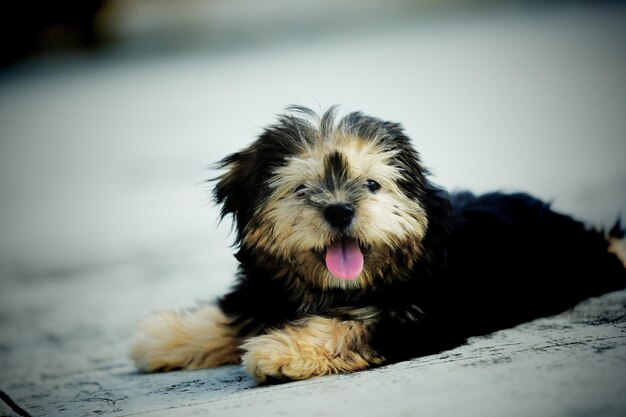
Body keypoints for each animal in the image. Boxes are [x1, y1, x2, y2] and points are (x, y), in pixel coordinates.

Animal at [129, 105, 620, 384]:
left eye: (371, 185)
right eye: (302, 188)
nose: (340, 211)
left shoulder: (419, 315)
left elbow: (353, 326)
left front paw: (280, 351)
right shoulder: (266, 288)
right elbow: (237, 311)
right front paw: (164, 338)